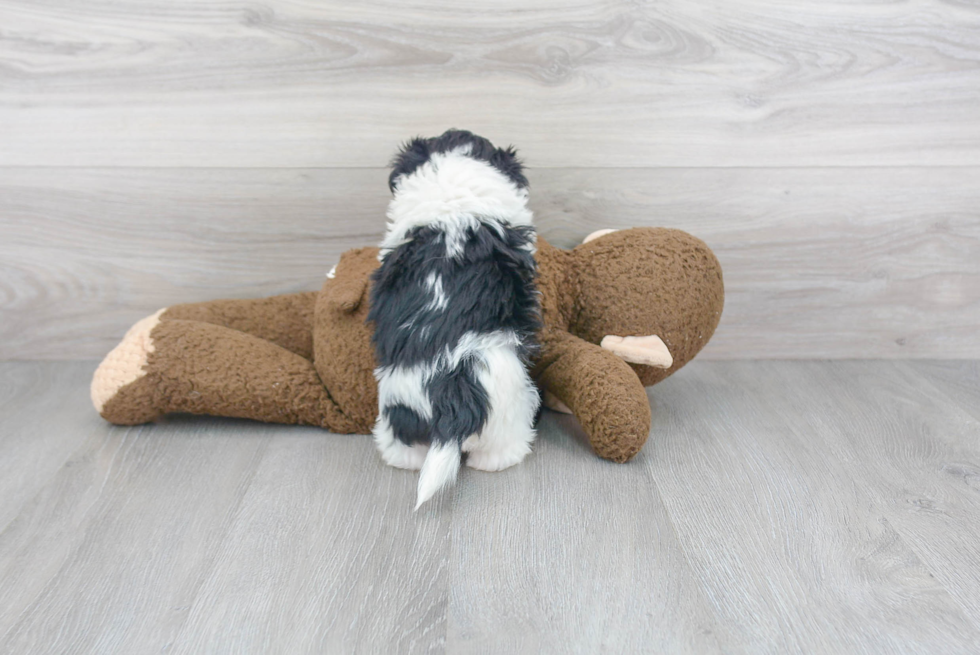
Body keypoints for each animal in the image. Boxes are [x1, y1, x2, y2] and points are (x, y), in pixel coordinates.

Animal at [368, 128, 540, 508]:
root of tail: (450, 394)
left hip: (399, 416)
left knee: (404, 450)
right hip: (510, 406)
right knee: (500, 449)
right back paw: (504, 459)